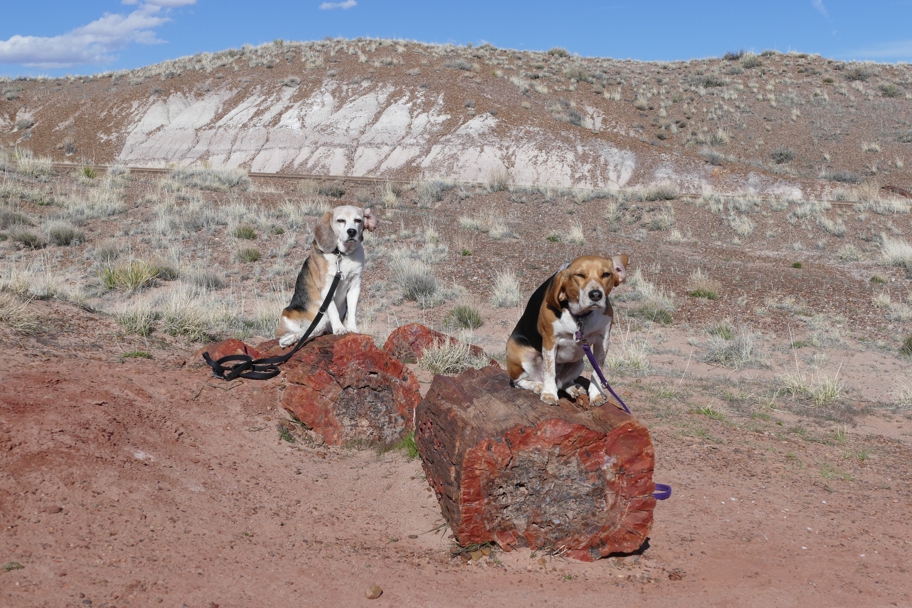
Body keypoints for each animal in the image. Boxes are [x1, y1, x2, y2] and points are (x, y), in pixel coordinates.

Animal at [276, 204, 380, 346]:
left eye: (358, 220)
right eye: (340, 220)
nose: (352, 231)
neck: (342, 255)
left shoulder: (355, 286)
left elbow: (352, 311)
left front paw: (352, 328)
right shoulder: (326, 287)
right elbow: (333, 310)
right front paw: (339, 329)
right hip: (289, 314)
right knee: (297, 334)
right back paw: (289, 339)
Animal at [506, 254, 628, 406]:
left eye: (606, 274)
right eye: (579, 275)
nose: (596, 295)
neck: (580, 316)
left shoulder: (603, 340)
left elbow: (597, 371)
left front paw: (596, 395)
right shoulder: (550, 340)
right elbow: (550, 369)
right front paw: (549, 394)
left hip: (578, 363)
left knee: (562, 383)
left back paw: (573, 388)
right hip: (521, 354)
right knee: (518, 381)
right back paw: (537, 386)